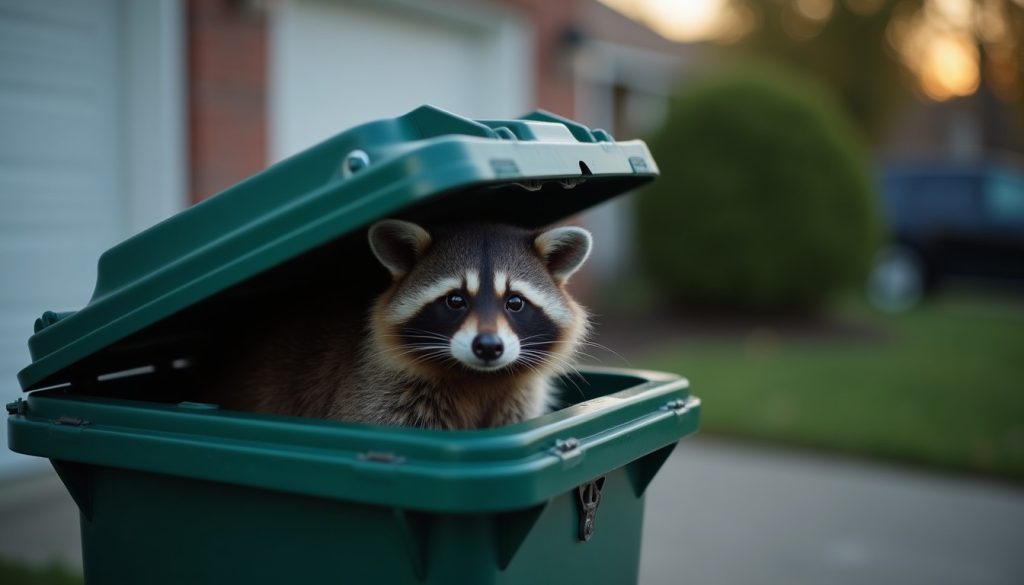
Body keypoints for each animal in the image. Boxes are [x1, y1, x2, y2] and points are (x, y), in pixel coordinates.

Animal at [209, 220, 592, 430]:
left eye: (514, 302)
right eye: (455, 300)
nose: (488, 346)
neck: (477, 379)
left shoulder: (517, 402)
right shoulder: (378, 396)